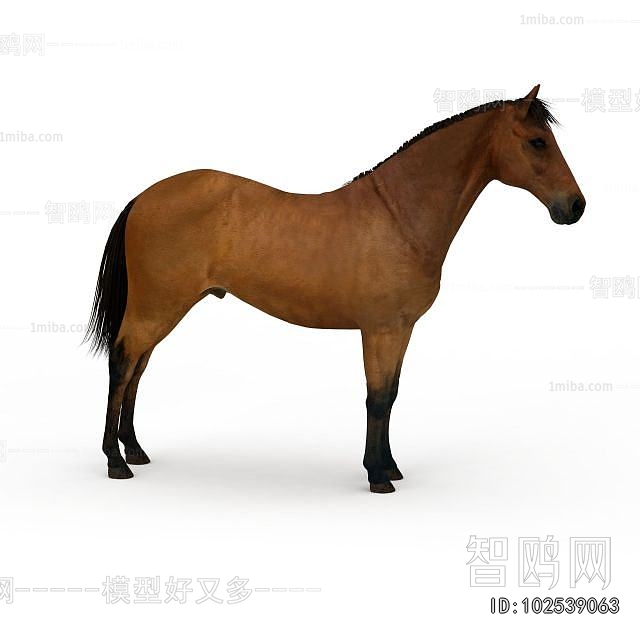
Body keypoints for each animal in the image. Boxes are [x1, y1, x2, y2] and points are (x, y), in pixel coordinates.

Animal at [86, 84, 585, 493]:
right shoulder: (381, 330)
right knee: (122, 363)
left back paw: (135, 451)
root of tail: (143, 197)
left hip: (161, 308)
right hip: (155, 308)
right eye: (537, 141)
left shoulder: (400, 330)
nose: (575, 207)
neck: (398, 216)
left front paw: (390, 465)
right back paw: (116, 463)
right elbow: (377, 399)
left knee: (137, 368)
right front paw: (378, 476)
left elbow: (391, 395)